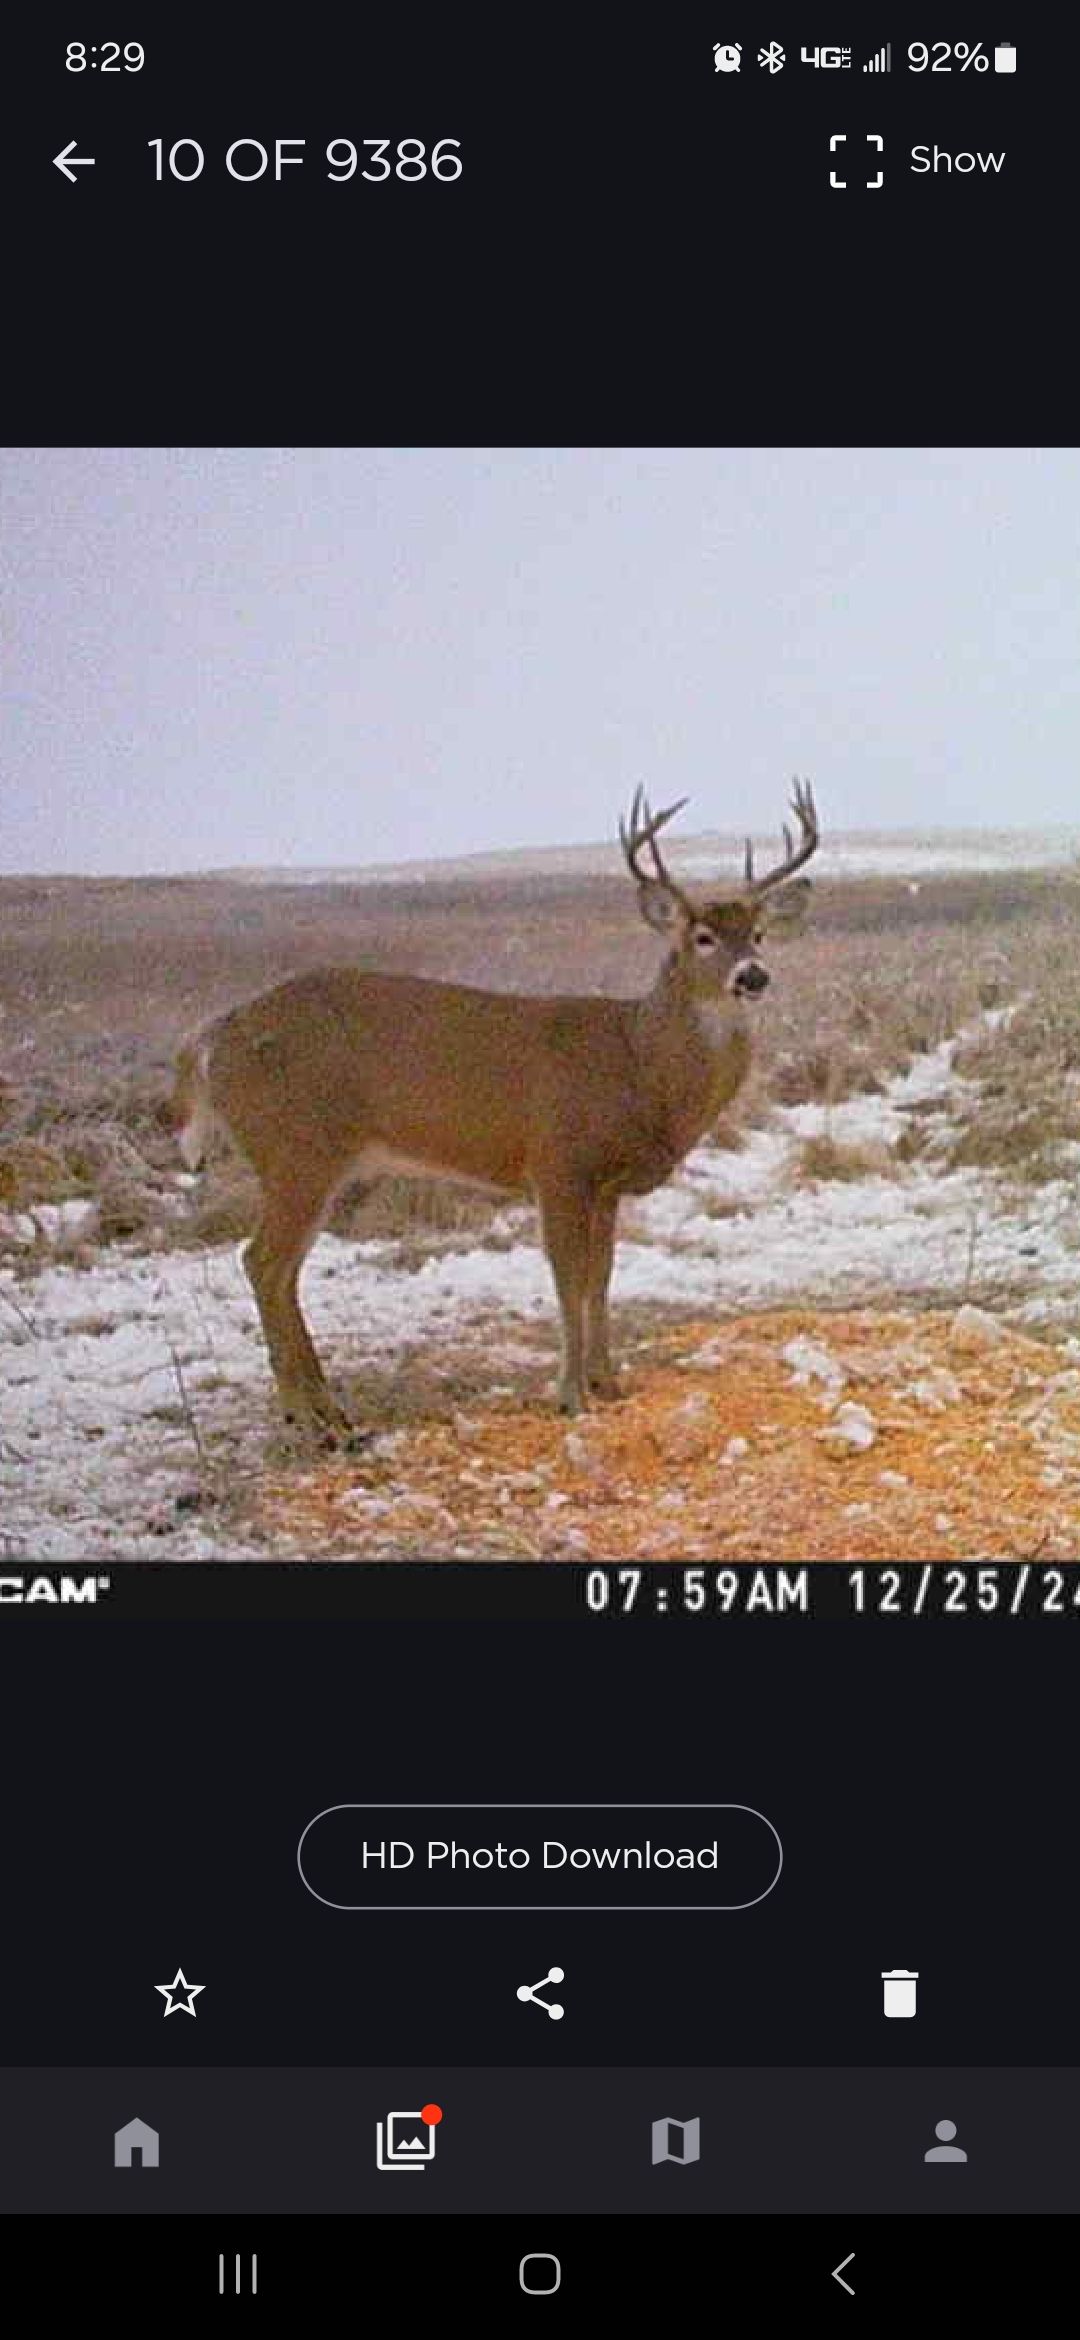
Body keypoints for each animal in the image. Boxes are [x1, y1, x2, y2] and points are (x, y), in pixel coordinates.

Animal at [171, 781, 819, 1443]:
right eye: (702, 937)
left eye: (760, 933)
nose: (753, 976)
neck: (637, 1065)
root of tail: (212, 1038)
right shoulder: (556, 1162)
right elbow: (567, 1278)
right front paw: (569, 1394)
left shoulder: (605, 1184)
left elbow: (602, 1276)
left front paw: (607, 1383)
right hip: (295, 1149)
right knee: (262, 1262)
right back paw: (308, 1419)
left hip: (317, 1163)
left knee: (283, 1271)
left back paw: (330, 1410)